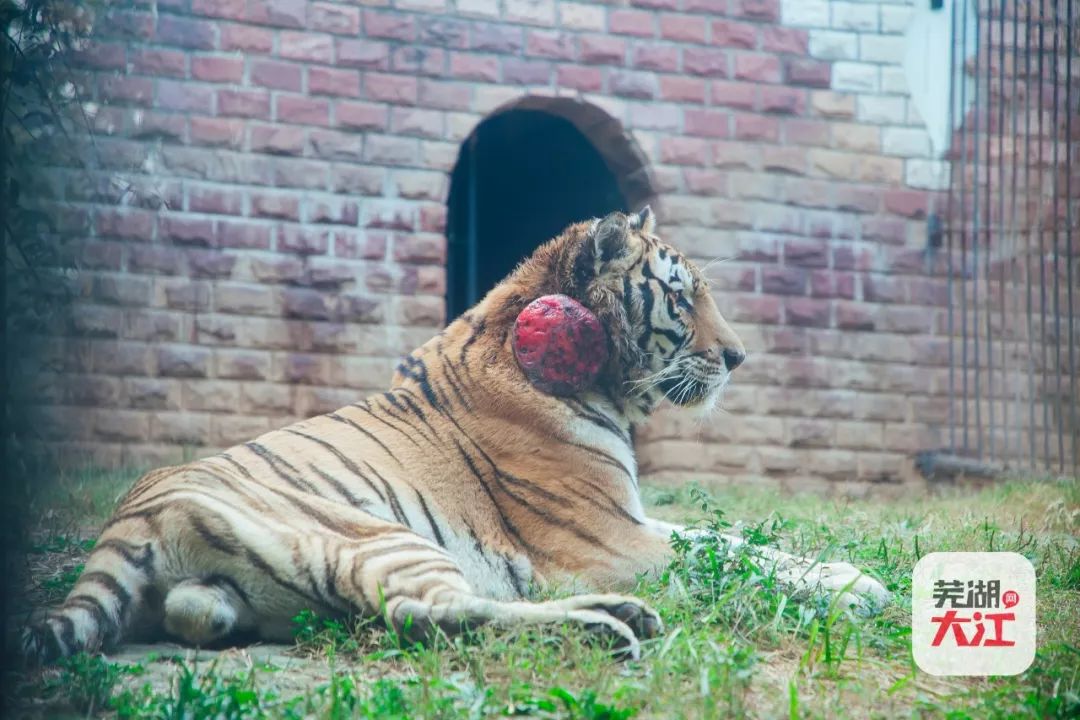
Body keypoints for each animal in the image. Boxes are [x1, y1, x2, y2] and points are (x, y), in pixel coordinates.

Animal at [21, 208, 889, 664]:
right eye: (681, 298)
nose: (739, 357)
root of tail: (130, 516)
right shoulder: (613, 541)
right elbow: (728, 560)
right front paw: (858, 589)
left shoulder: (636, 519)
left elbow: (739, 541)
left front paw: (854, 574)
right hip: (379, 536)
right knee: (426, 614)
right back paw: (609, 624)